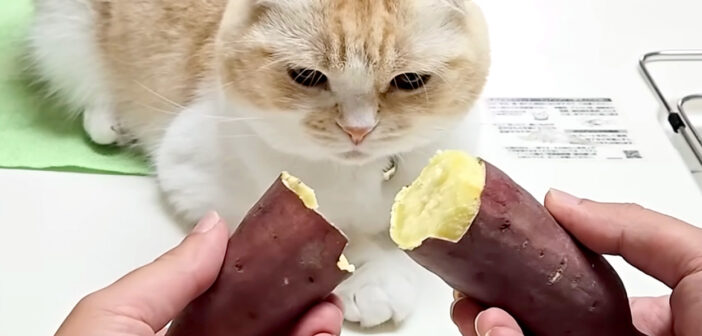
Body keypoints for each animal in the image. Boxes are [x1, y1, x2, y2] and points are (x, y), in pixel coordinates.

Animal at [26, 0, 490, 326]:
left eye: (410, 82)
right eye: (307, 77)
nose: (358, 131)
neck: (360, 172)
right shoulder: (195, 171)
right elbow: (337, 234)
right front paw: (373, 278)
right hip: (66, 33)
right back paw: (113, 122)